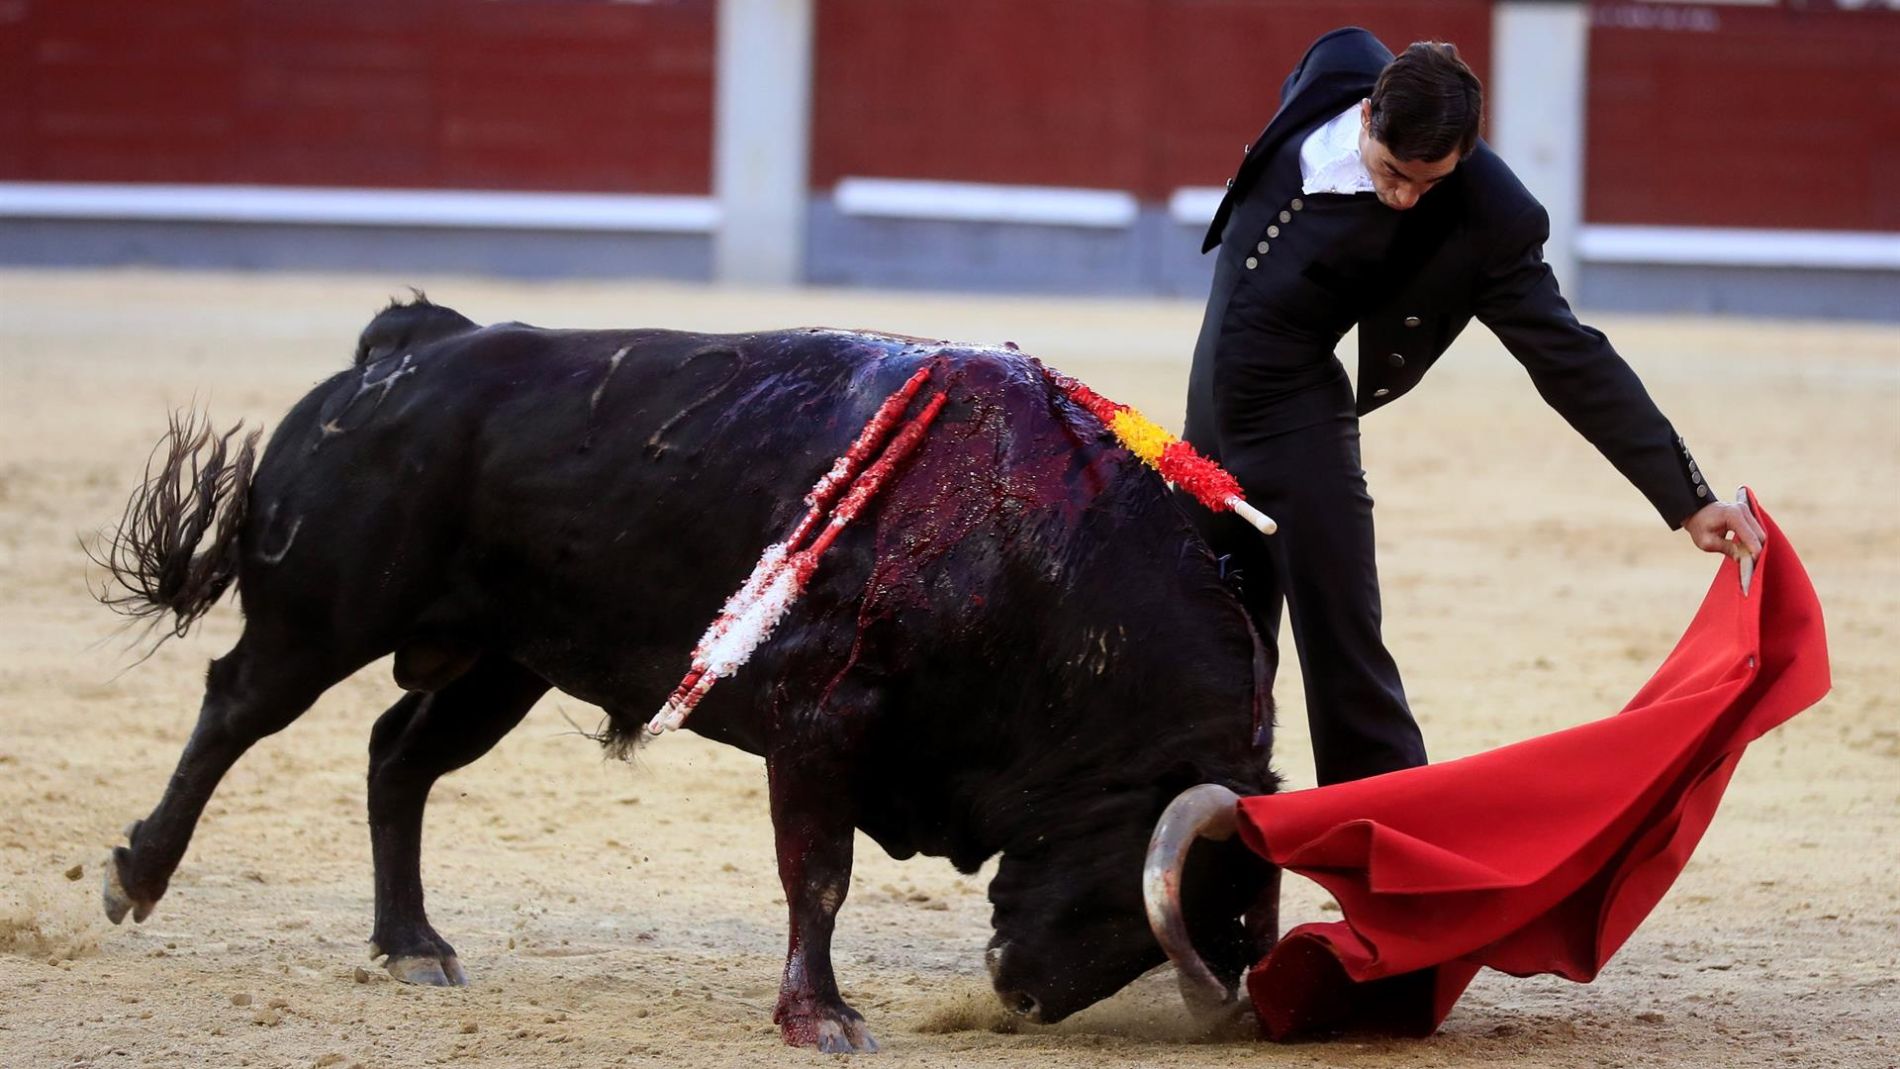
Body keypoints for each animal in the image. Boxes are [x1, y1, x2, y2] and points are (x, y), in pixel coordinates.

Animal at [92, 301, 1276, 1055]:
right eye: (1135, 893)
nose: (1022, 997)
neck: (1031, 546)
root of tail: (413, 343)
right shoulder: (821, 718)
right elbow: (820, 873)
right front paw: (822, 1019)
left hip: (503, 665)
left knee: (398, 757)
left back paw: (414, 946)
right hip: (321, 616)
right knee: (234, 709)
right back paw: (137, 876)